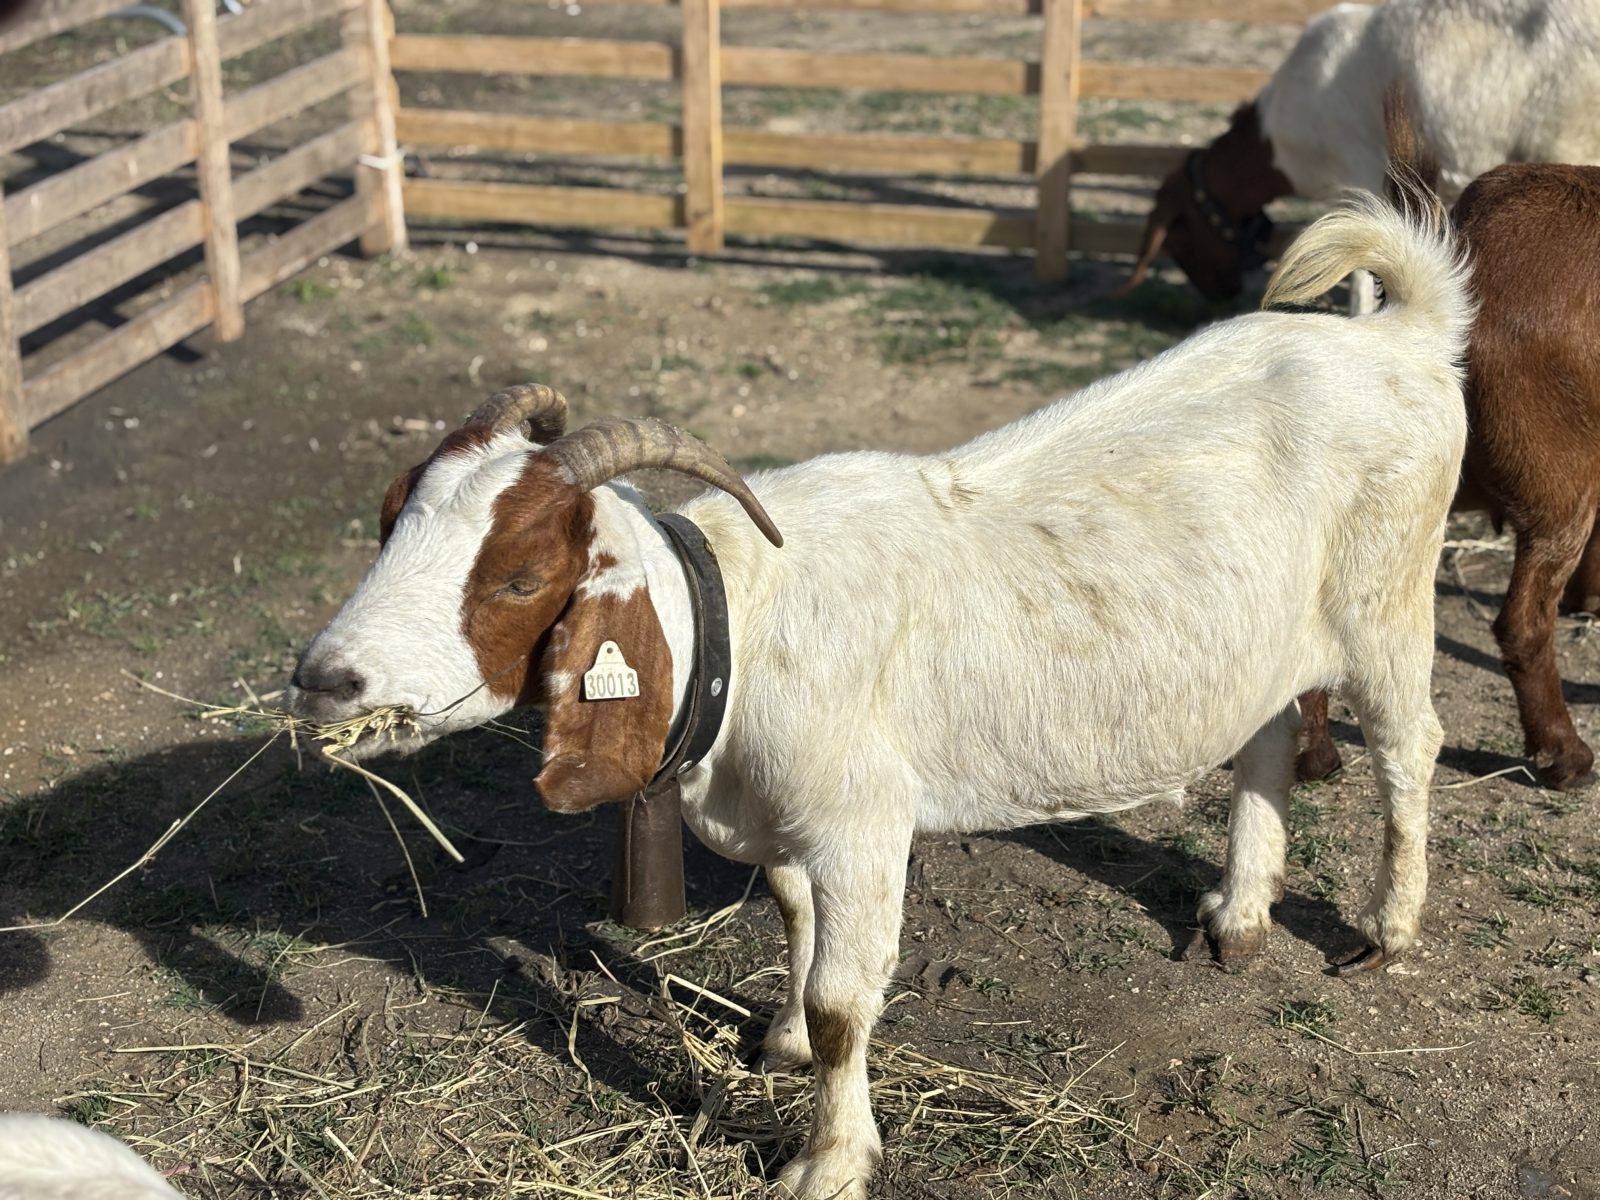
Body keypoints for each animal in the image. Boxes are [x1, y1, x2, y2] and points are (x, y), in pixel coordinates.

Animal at [288, 198, 1469, 1198]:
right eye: (390, 519)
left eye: (523, 576)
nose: (325, 677)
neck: (740, 626)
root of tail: (1403, 337)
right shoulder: (792, 825)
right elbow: (792, 920)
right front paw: (777, 1043)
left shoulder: (861, 824)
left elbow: (845, 1002)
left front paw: (829, 1160)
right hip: (1265, 637)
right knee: (1266, 738)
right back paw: (1239, 913)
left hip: (1387, 603)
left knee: (1409, 744)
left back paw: (1388, 928)